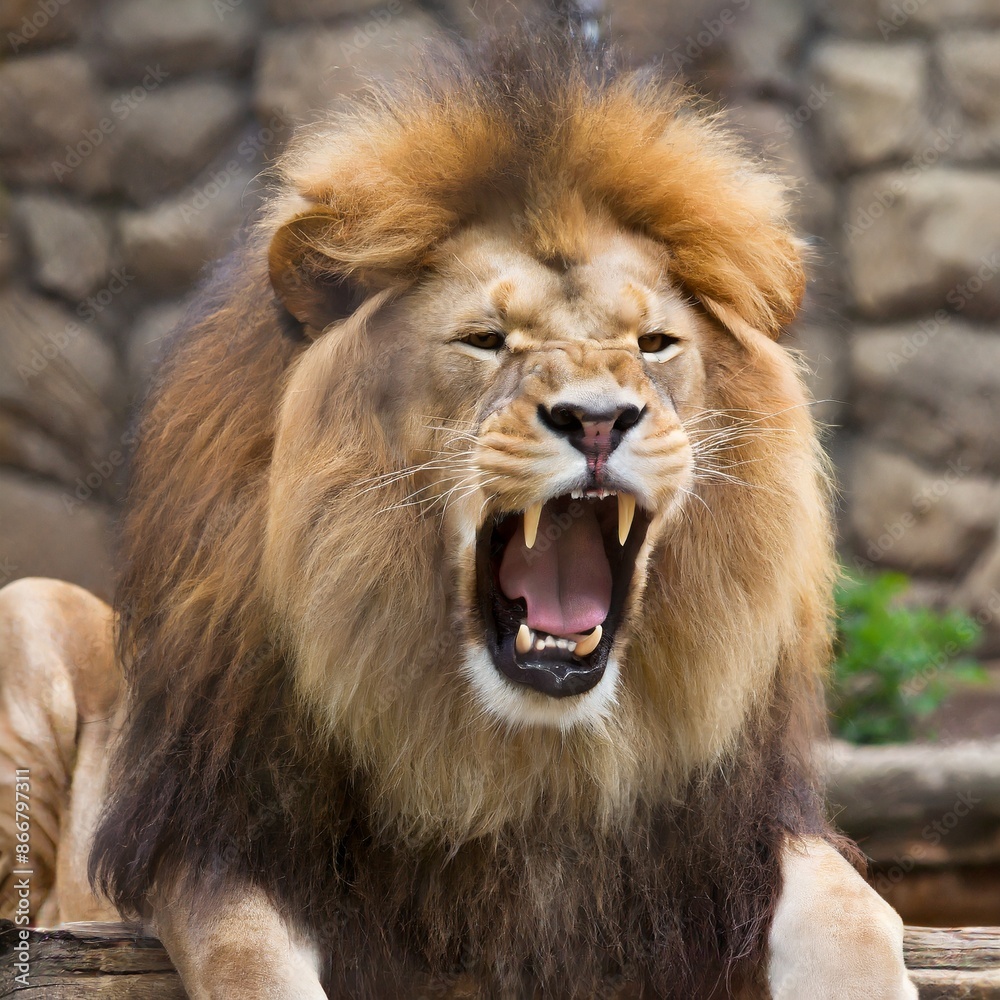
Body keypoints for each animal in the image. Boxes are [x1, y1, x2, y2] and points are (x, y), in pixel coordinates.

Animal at [0, 27, 915, 1000]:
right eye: (485, 341)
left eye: (655, 344)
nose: (599, 417)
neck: (531, 760)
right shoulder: (215, 844)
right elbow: (245, 950)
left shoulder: (724, 850)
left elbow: (854, 909)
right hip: (29, 608)